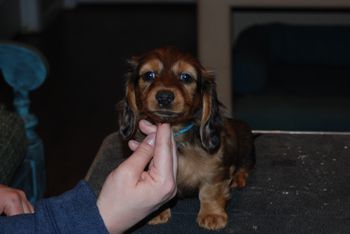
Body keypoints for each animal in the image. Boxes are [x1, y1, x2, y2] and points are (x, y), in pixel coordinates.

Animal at [117, 46, 254, 229]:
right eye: (149, 75)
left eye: (186, 77)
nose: (164, 96)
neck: (175, 133)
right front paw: (156, 212)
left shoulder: (215, 169)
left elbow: (210, 191)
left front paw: (212, 214)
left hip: (246, 148)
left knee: (244, 166)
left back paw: (238, 178)